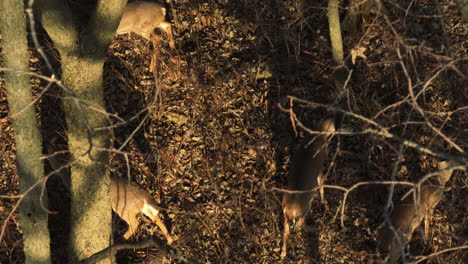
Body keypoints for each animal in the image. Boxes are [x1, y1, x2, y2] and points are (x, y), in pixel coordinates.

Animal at [280, 118, 334, 258]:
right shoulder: (321, 170)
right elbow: (321, 185)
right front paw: (324, 201)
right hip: (303, 208)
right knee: (300, 224)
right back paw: (313, 228)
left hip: (287, 216)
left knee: (286, 230)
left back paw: (283, 253)